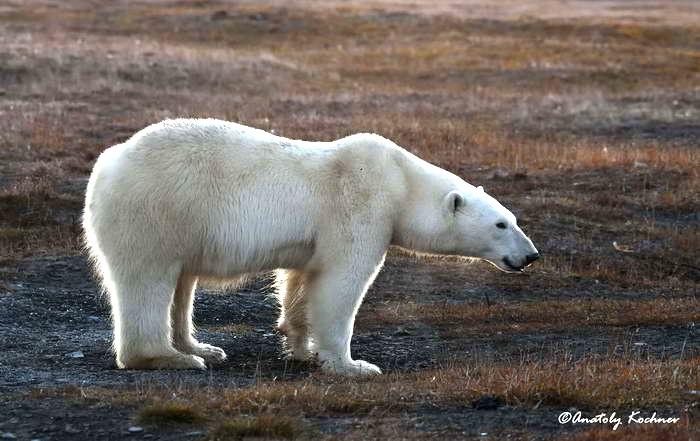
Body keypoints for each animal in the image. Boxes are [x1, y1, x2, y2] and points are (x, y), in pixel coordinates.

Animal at [83, 118, 540, 376]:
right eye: (501, 224)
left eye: (515, 219)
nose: (531, 255)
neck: (401, 182)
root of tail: (109, 161)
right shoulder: (361, 205)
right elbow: (340, 283)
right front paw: (351, 365)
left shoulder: (311, 242)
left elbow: (301, 282)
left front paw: (299, 347)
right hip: (157, 211)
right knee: (148, 280)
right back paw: (169, 357)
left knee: (181, 284)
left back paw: (201, 347)